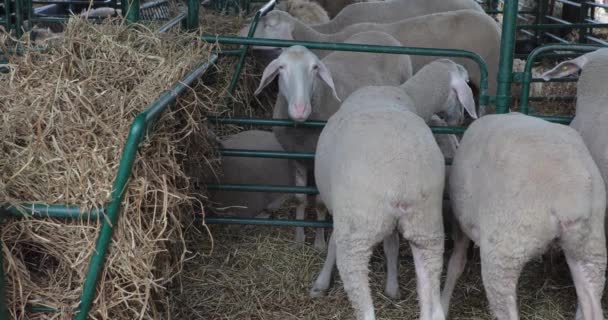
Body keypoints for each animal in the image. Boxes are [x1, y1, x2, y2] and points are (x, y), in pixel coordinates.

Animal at [252, 30, 414, 250]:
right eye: (281, 67)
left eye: (314, 68)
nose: (300, 109)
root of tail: (383, 34)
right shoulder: (296, 157)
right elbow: (299, 198)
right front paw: (299, 238)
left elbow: (320, 203)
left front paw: (319, 242)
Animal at [314, 59, 480, 320]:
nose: (462, 117)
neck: (408, 94)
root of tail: (401, 179)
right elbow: (391, 246)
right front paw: (392, 288)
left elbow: (332, 243)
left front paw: (321, 283)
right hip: (426, 226)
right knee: (430, 281)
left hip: (358, 230)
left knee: (357, 282)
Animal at [442, 112, 608, 320]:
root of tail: (568, 195)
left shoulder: (459, 222)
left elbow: (455, 263)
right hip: (590, 244)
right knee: (592, 300)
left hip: (504, 250)